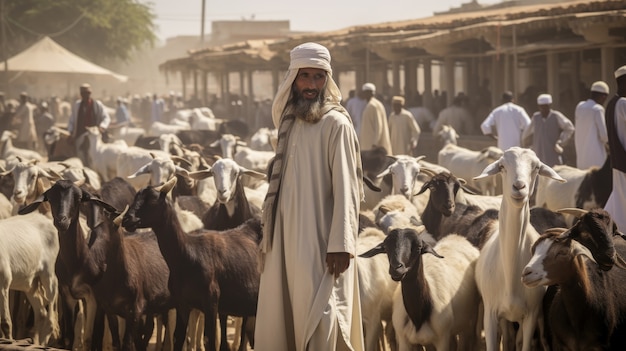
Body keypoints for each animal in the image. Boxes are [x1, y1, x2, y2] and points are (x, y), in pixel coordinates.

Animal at [120, 177, 260, 351]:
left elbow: (209, 339)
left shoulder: (211, 302)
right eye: (135, 198)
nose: (127, 219)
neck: (188, 255)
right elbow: (178, 338)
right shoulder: (183, 304)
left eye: (152, 200)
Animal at [470, 148, 564, 351]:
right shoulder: (490, 314)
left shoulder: (531, 316)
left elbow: (524, 343)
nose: (519, 186)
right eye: (501, 166)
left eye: (536, 167)